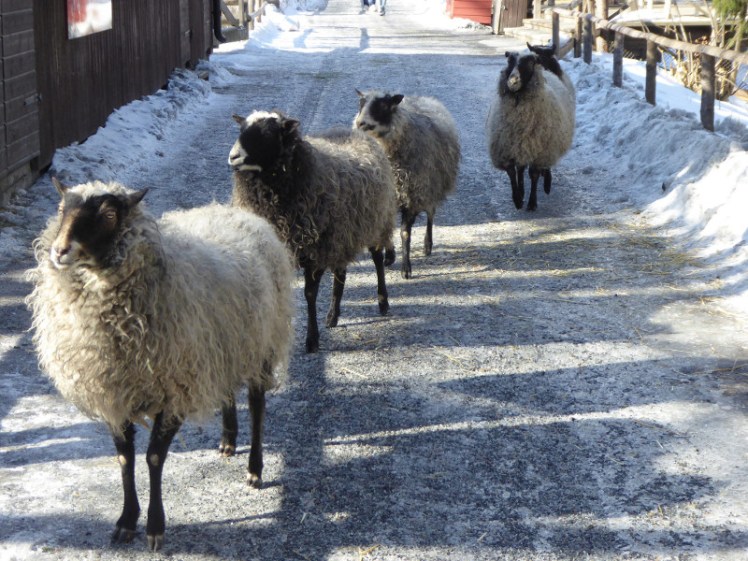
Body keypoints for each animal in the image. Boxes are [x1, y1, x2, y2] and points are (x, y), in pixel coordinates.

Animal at [26, 178, 294, 551]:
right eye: (63, 208)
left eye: (109, 215)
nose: (60, 251)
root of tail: (236, 212)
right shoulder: (115, 393)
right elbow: (125, 458)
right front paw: (126, 521)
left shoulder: (175, 389)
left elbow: (153, 458)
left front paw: (154, 527)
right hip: (222, 347)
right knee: (227, 390)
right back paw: (228, 440)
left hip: (261, 345)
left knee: (257, 405)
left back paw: (255, 468)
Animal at [228, 110, 397, 353]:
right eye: (241, 129)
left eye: (268, 133)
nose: (233, 157)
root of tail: (354, 132)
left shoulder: (314, 248)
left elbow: (309, 294)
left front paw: (312, 339)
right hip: (341, 235)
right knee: (341, 273)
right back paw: (333, 315)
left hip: (376, 222)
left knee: (377, 260)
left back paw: (383, 302)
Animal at [353, 90, 461, 279]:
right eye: (361, 103)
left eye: (383, 105)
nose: (361, 123)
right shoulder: (386, 199)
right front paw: (389, 256)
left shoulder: (412, 196)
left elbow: (405, 233)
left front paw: (406, 268)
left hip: (429, 187)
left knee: (431, 213)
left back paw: (427, 245)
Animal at [486, 51, 575, 211]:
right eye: (510, 61)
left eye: (528, 63)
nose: (512, 81)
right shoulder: (507, 148)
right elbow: (512, 173)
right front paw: (517, 199)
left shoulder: (540, 152)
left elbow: (534, 175)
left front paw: (532, 202)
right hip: (522, 146)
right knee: (521, 169)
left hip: (547, 145)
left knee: (542, 168)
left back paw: (546, 184)